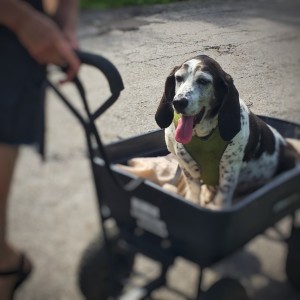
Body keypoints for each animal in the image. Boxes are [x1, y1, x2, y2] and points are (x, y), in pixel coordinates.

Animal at [156, 54, 298, 209]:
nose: (178, 102)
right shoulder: (187, 169)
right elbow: (194, 192)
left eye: (203, 81)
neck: (203, 136)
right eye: (178, 78)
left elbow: (222, 197)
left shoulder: (229, 170)